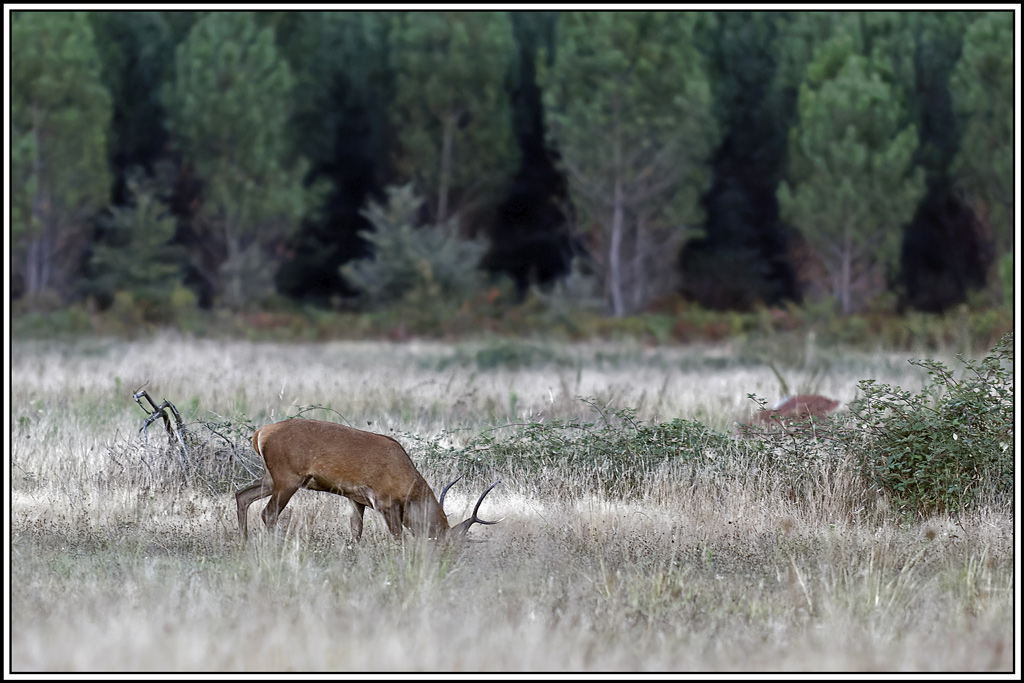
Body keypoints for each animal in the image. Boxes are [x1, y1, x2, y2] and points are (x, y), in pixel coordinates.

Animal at [235, 418, 501, 542]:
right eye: (449, 544)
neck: (408, 487)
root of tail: (260, 433)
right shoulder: (385, 501)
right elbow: (399, 538)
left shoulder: (356, 499)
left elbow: (356, 532)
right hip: (287, 478)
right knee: (268, 513)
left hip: (271, 478)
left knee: (242, 495)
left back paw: (244, 542)